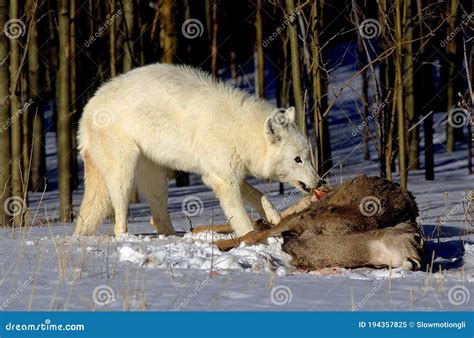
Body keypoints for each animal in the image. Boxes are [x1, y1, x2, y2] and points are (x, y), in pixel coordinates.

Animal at [74, 64, 320, 238]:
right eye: (297, 159)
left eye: (308, 157)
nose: (320, 183)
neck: (238, 130)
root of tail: (88, 110)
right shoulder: (223, 180)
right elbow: (241, 218)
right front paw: (251, 238)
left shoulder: (227, 174)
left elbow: (261, 196)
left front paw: (275, 219)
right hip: (124, 174)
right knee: (120, 218)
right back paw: (126, 237)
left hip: (156, 180)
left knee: (159, 218)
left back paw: (173, 236)